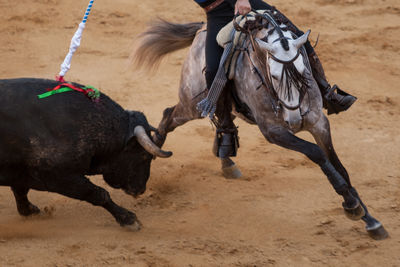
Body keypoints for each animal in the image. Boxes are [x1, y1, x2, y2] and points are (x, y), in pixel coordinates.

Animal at [0, 78, 170, 231]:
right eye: (144, 156)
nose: (140, 189)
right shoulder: (57, 176)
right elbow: (98, 194)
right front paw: (129, 219)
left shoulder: (22, 172)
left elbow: (20, 191)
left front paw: (29, 211)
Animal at [133, 11, 390, 240]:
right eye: (274, 76)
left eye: (303, 70)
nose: (294, 121)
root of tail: (200, 32)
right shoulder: (273, 132)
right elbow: (316, 153)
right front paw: (352, 205)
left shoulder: (319, 122)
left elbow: (339, 165)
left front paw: (369, 219)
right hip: (193, 103)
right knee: (168, 116)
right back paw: (149, 151)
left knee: (222, 122)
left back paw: (226, 159)